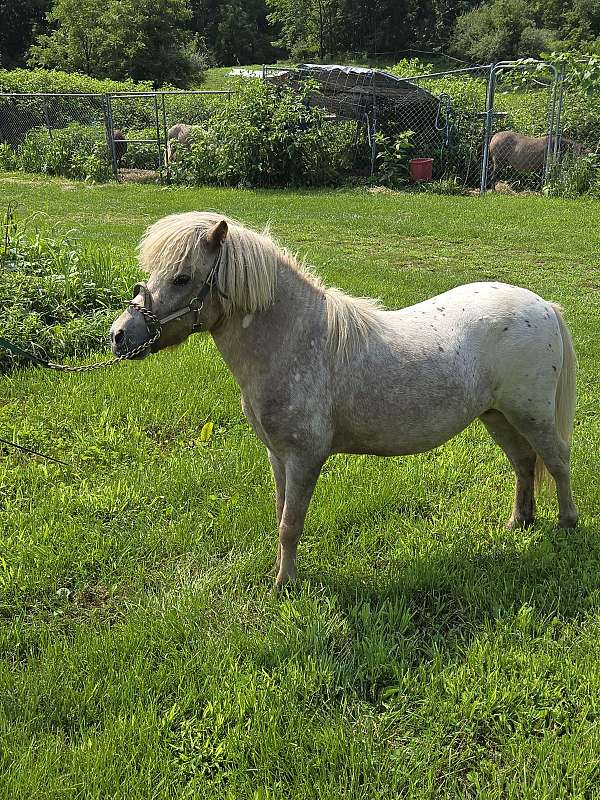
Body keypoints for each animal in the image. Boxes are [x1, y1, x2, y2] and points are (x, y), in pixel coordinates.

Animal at [109, 212, 578, 587]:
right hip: (497, 415)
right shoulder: (277, 456)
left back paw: (567, 525)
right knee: (524, 462)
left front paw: (285, 586)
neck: (297, 339)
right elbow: (281, 515)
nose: (119, 335)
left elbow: (291, 524)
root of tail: (544, 306)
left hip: (531, 416)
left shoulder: (305, 457)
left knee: (556, 460)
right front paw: (281, 573)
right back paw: (519, 523)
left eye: (182, 278)